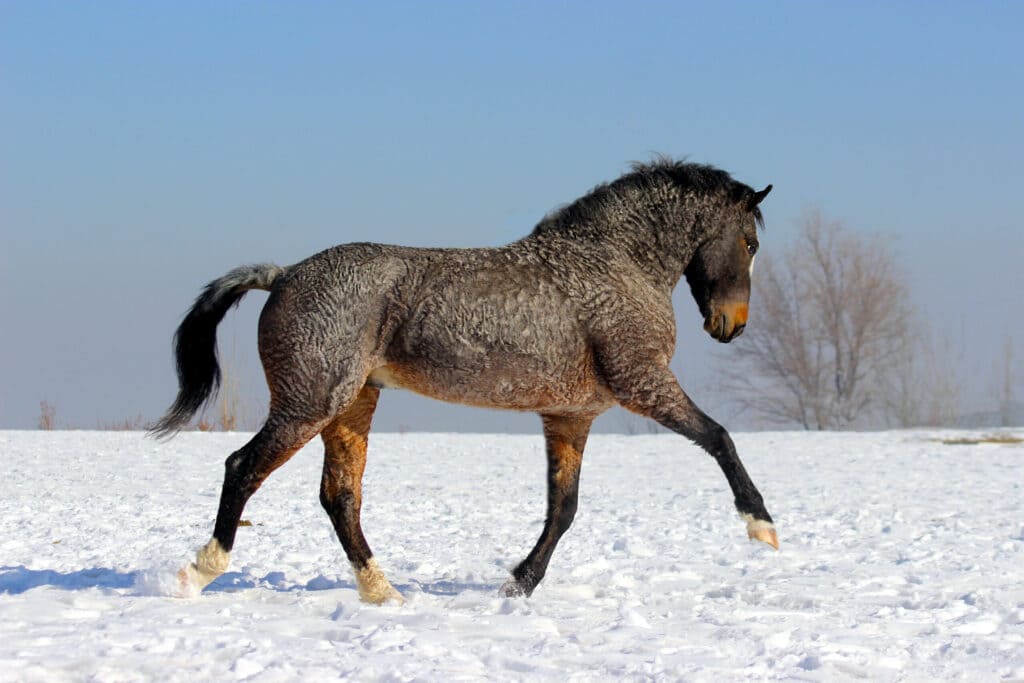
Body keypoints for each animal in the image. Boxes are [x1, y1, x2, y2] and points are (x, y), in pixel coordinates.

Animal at [151, 158, 774, 602]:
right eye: (749, 242)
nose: (733, 325)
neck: (614, 265)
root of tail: (282, 275)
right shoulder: (643, 383)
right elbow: (719, 437)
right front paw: (762, 527)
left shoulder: (571, 416)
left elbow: (563, 508)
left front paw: (518, 583)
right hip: (310, 403)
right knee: (244, 468)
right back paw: (198, 573)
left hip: (351, 406)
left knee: (340, 496)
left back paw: (383, 593)